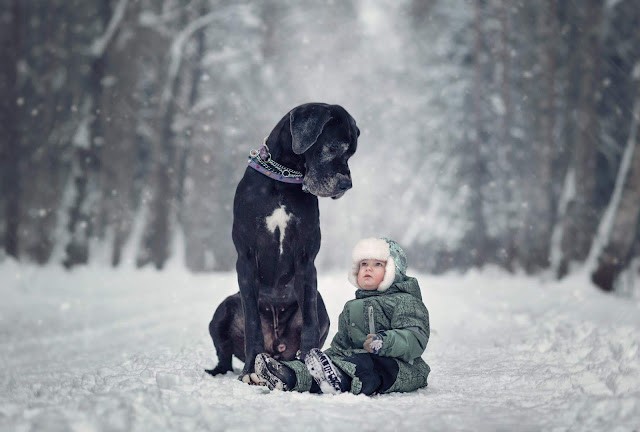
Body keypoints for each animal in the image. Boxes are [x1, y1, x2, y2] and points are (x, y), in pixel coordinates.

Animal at [206, 102, 360, 382]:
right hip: (223, 309)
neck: (282, 179)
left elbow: (309, 321)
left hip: (321, 307)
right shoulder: (245, 258)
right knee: (224, 357)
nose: (346, 184)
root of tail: (275, 346)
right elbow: (252, 323)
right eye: (333, 147)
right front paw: (250, 369)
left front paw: (312, 364)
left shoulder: (306, 259)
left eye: (351, 153)